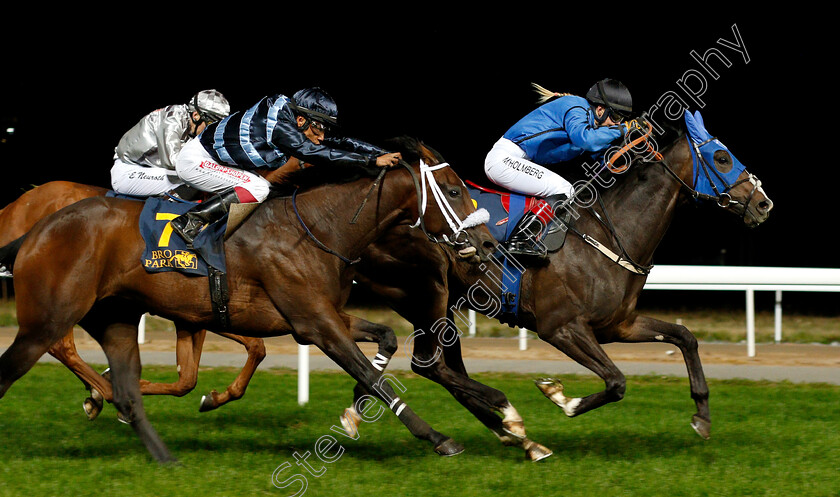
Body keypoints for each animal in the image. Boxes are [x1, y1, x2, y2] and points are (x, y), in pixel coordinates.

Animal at [0, 180, 270, 416]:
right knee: (60, 346)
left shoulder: (214, 310)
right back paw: (105, 393)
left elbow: (254, 348)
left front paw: (215, 397)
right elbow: (188, 377)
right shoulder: (197, 309)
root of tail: (14, 206)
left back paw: (98, 393)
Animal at [338, 110, 772, 456]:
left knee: (446, 370)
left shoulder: (618, 325)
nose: (764, 203)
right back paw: (501, 421)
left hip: (442, 306)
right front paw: (561, 397)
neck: (611, 234)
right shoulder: (559, 327)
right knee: (428, 364)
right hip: (427, 295)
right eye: (721, 157)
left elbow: (685, 337)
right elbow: (617, 381)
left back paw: (508, 433)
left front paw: (702, 415)